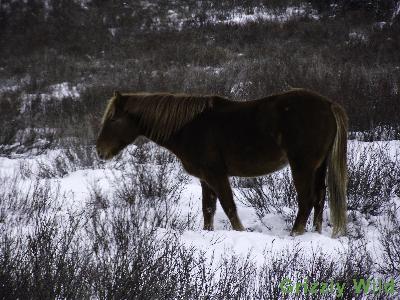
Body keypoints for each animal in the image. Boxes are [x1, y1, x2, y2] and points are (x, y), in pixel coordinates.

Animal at [96, 88, 346, 237]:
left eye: (114, 119)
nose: (99, 151)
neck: (189, 127)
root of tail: (328, 104)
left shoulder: (216, 174)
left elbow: (229, 207)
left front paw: (240, 233)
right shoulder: (205, 178)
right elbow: (209, 209)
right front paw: (208, 234)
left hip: (302, 166)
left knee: (306, 200)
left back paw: (295, 234)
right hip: (318, 167)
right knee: (320, 198)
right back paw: (315, 232)